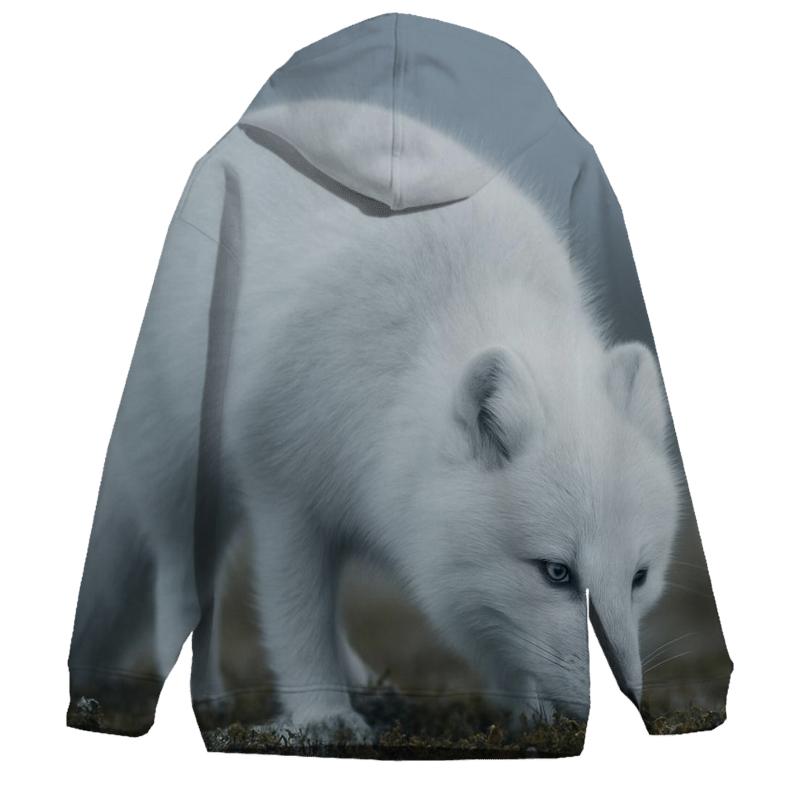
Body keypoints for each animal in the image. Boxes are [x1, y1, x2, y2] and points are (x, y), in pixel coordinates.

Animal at [224, 115, 683, 742]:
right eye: (557, 572)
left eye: (639, 576)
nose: (632, 703)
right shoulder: (282, 489)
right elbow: (296, 618)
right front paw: (324, 718)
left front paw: (527, 714)